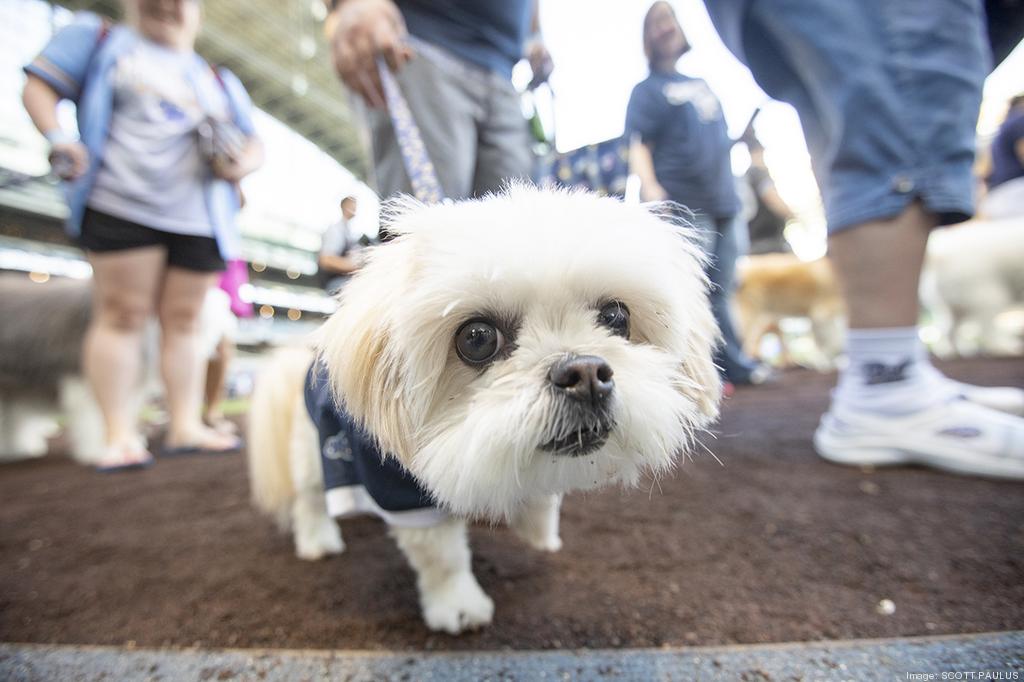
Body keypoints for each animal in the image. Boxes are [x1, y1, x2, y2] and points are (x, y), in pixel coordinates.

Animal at [246, 187, 720, 630]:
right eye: (477, 338)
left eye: (616, 317)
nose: (585, 373)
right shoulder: (399, 491)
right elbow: (442, 556)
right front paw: (458, 606)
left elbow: (545, 497)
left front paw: (538, 530)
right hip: (317, 446)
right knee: (309, 496)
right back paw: (317, 541)